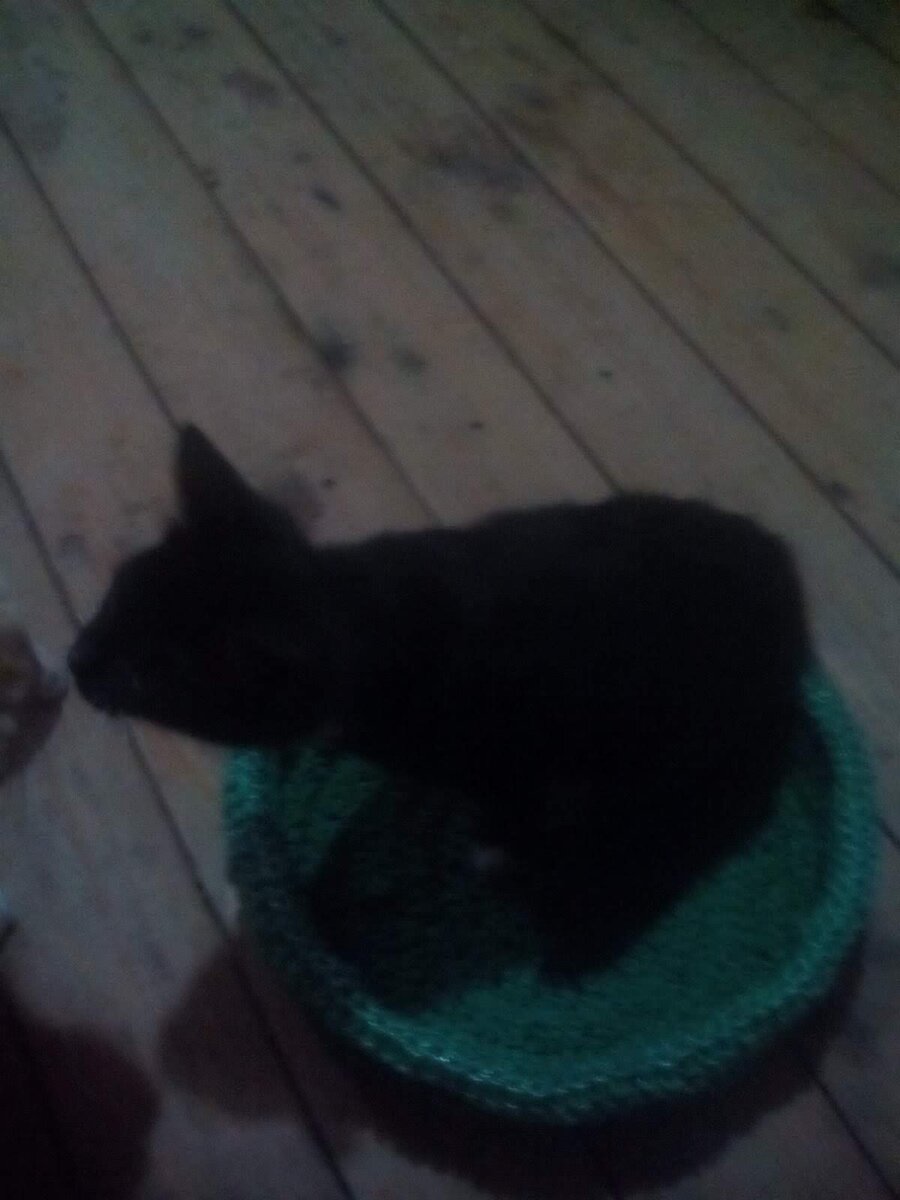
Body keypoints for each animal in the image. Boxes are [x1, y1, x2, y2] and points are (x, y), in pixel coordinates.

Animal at [70, 427, 810, 946]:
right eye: (117, 593)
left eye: (145, 676)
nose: (77, 661)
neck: (356, 605)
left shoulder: (516, 745)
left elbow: (513, 807)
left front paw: (495, 850)